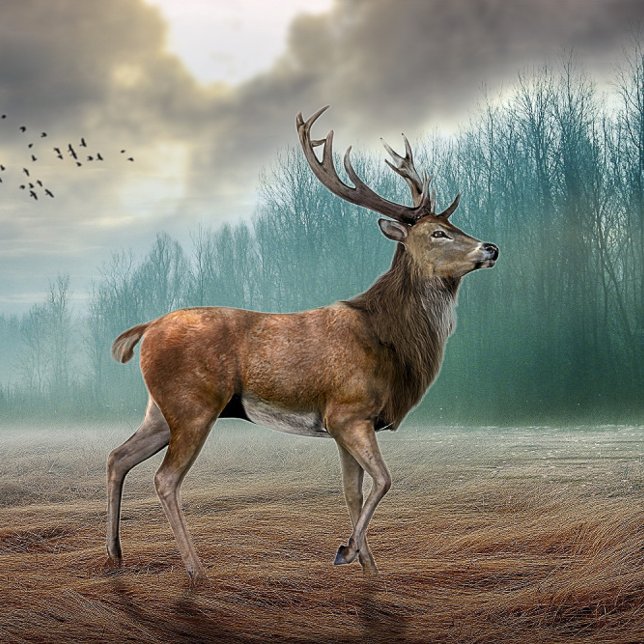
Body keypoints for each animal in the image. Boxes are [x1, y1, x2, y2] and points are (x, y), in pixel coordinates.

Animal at [105, 106, 499, 585]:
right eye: (438, 233)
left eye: (453, 224)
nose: (491, 248)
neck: (390, 341)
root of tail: (146, 329)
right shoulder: (348, 411)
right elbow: (384, 481)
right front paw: (347, 551)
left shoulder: (344, 424)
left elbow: (353, 491)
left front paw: (367, 565)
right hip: (193, 404)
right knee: (165, 479)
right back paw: (197, 571)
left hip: (161, 410)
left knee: (118, 456)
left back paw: (115, 556)